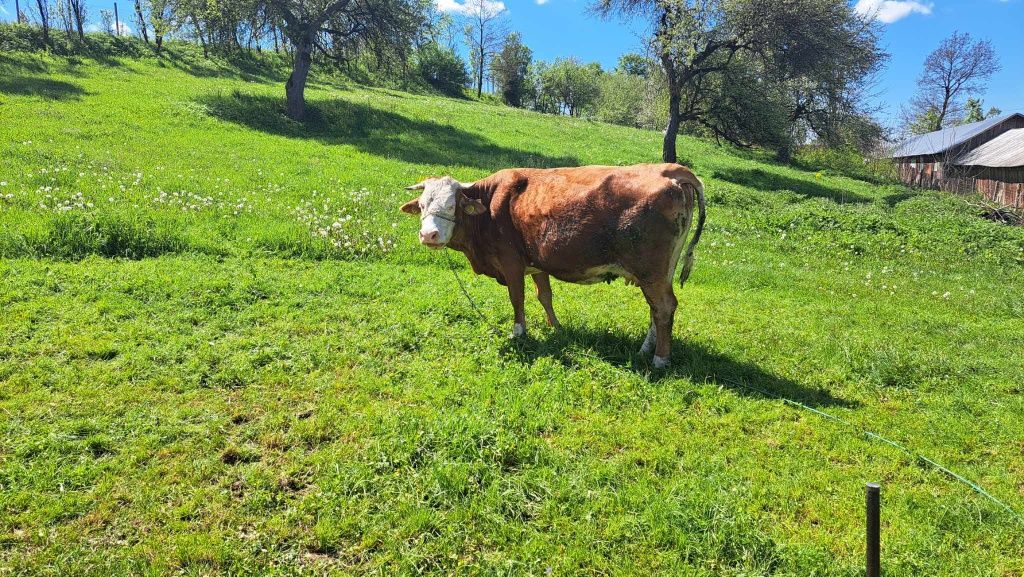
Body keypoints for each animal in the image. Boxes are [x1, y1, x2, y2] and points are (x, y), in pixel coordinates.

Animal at [399, 165, 704, 368]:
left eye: (452, 205)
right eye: (423, 204)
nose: (428, 235)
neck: (490, 204)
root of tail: (669, 170)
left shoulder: (511, 263)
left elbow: (518, 298)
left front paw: (519, 333)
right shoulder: (538, 265)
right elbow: (544, 296)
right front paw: (556, 327)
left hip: (651, 272)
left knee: (664, 307)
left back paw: (660, 359)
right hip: (659, 272)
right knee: (656, 311)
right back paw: (644, 350)